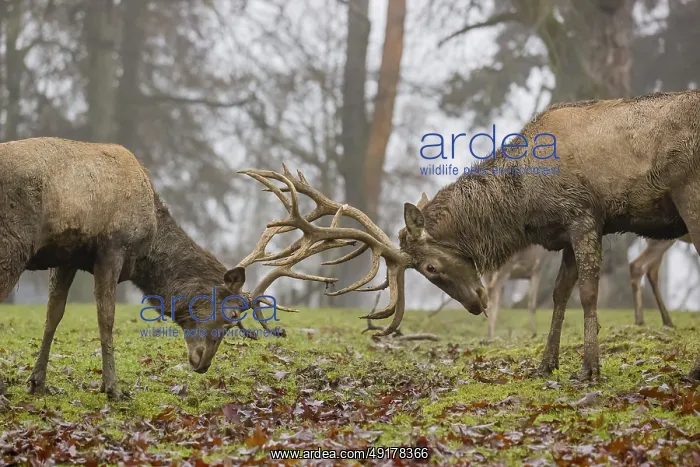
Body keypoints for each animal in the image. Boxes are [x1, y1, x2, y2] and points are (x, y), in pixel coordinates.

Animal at [0, 137, 310, 401]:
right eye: (231, 315)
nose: (203, 364)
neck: (146, 249)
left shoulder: (68, 257)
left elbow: (53, 314)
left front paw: (37, 382)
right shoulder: (112, 248)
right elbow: (106, 318)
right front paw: (112, 388)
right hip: (12, 245)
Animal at [238, 89, 700, 383]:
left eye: (429, 267)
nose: (477, 304)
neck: (526, 202)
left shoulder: (585, 214)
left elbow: (587, 292)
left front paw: (589, 369)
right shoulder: (566, 232)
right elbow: (558, 295)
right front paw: (546, 365)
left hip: (688, 190)